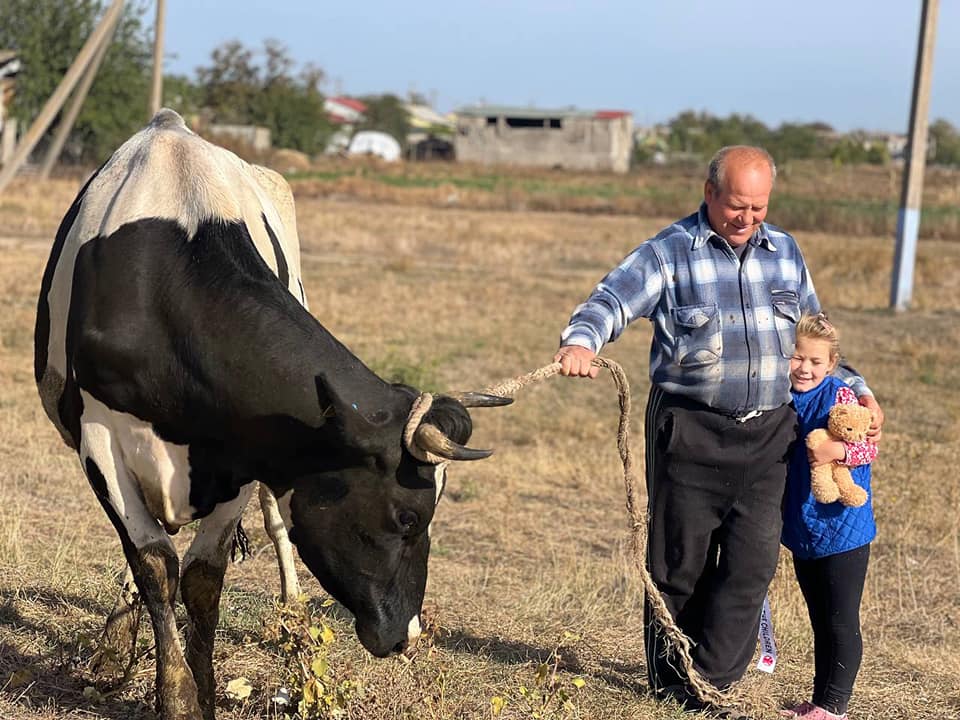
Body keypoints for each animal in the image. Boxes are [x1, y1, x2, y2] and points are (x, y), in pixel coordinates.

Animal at [33, 108, 506, 720]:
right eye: (408, 518)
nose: (408, 635)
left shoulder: (246, 451)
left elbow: (203, 578)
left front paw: (204, 688)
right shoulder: (101, 439)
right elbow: (155, 564)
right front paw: (177, 696)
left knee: (273, 518)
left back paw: (292, 607)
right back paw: (117, 644)